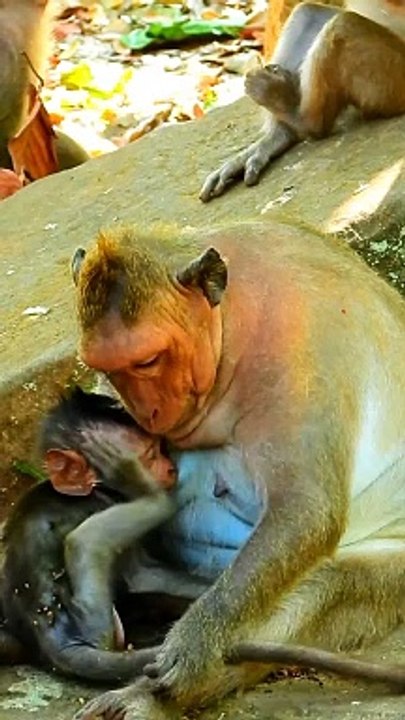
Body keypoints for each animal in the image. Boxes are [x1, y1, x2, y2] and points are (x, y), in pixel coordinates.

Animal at [68, 220, 405, 718]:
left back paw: (150, 697)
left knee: (315, 591)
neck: (232, 324)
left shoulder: (298, 351)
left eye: (147, 361)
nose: (145, 412)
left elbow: (306, 511)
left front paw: (191, 649)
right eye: (108, 368)